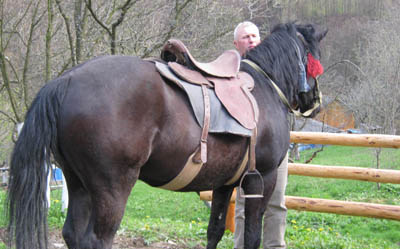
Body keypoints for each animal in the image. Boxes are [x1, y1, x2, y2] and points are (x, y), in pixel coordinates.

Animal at [6, 22, 326, 248]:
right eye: (315, 56)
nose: (313, 100)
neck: (264, 84)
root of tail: (67, 80)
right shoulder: (262, 179)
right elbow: (252, 237)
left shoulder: (224, 184)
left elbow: (214, 230)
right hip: (112, 189)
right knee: (96, 240)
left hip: (78, 183)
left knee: (72, 234)